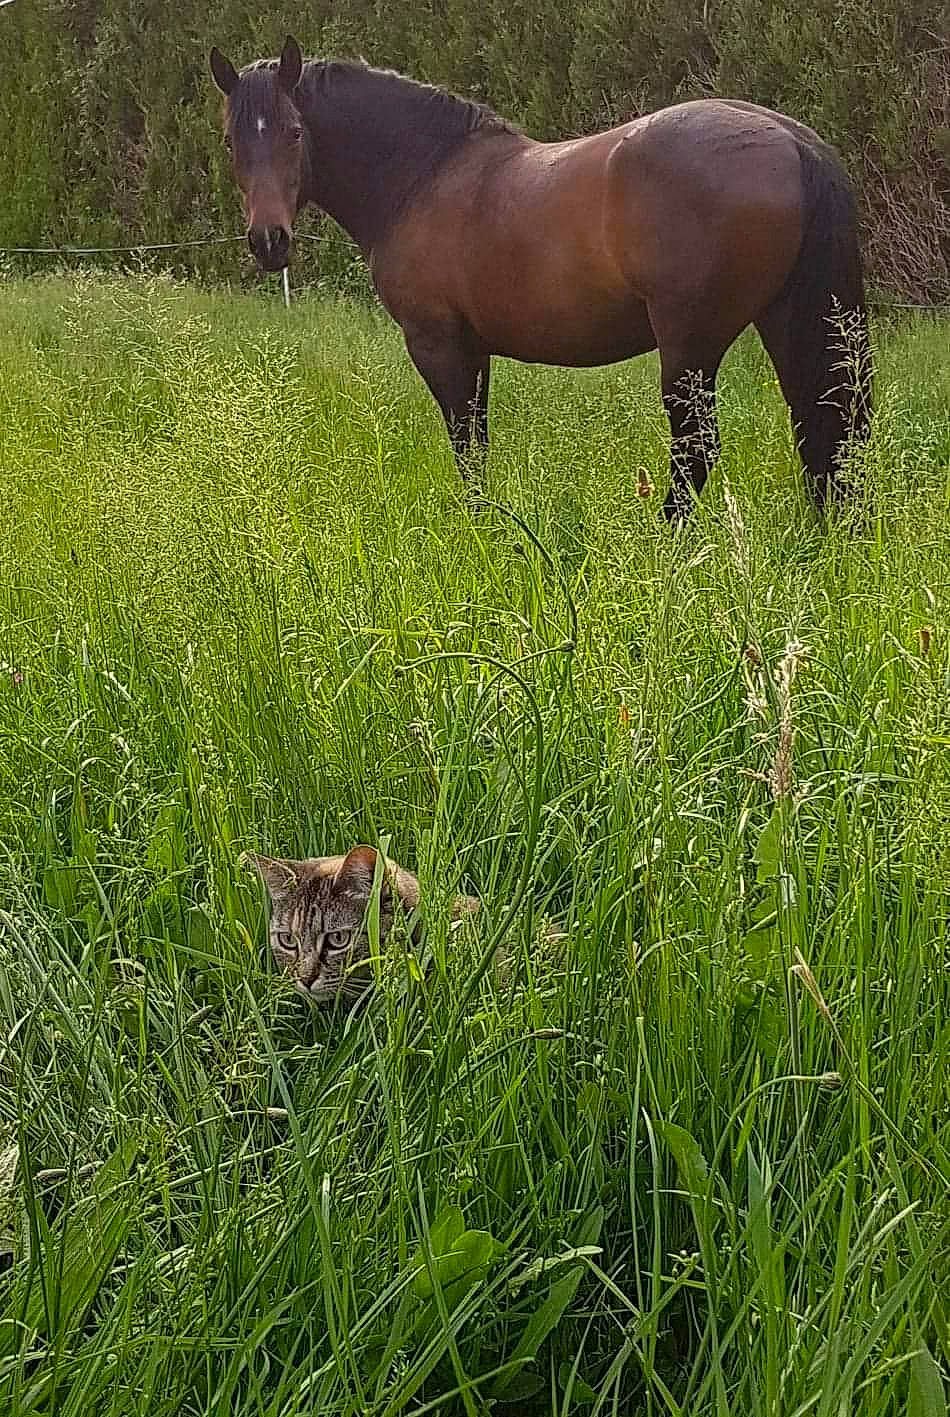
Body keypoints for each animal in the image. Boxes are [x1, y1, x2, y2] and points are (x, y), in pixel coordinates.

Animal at [209, 37, 872, 522]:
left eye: (295, 131)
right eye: (231, 139)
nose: (269, 241)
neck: (423, 175)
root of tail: (792, 140)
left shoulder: (438, 346)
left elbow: (466, 448)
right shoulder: (475, 351)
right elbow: (477, 441)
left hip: (692, 342)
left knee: (699, 446)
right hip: (786, 321)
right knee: (823, 427)